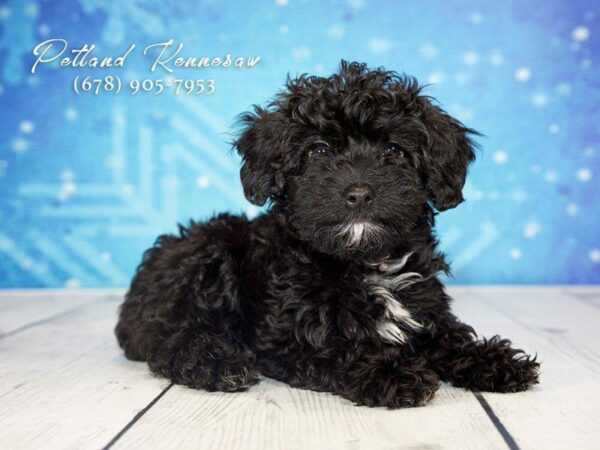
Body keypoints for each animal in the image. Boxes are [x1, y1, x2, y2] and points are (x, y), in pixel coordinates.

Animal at [116, 61, 540, 410]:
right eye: (318, 151)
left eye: (394, 150)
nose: (359, 193)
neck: (366, 262)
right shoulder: (287, 336)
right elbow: (339, 348)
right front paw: (389, 372)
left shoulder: (425, 307)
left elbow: (449, 337)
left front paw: (492, 360)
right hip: (209, 254)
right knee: (167, 335)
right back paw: (216, 362)